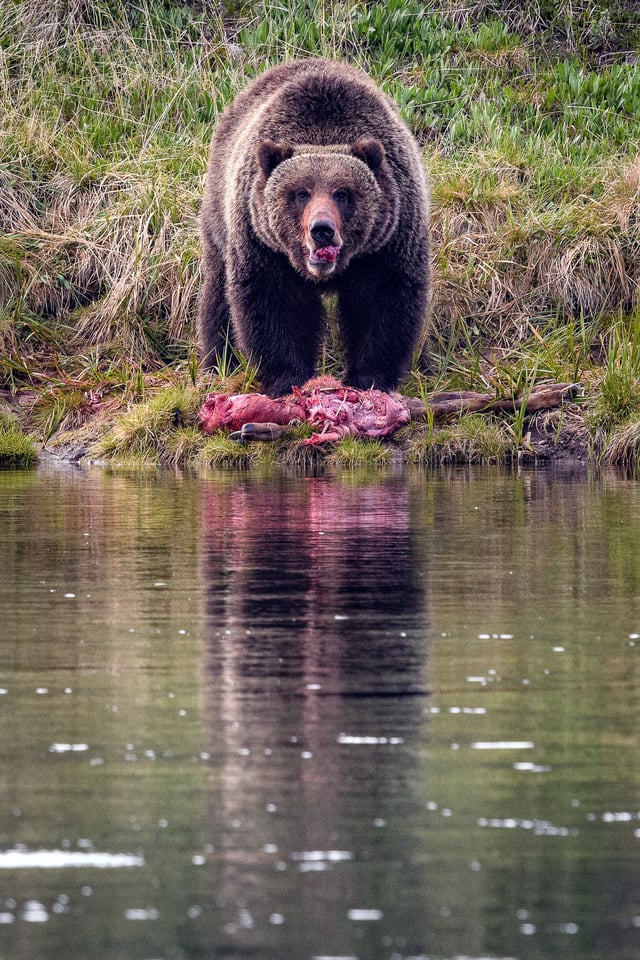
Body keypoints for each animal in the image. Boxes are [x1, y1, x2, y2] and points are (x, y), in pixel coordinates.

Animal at [200, 58, 430, 396]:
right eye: (301, 193)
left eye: (342, 194)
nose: (321, 229)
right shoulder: (264, 245)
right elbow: (272, 304)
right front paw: (287, 379)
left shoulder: (388, 242)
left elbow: (384, 303)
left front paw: (370, 379)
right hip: (220, 221)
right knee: (218, 295)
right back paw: (218, 361)